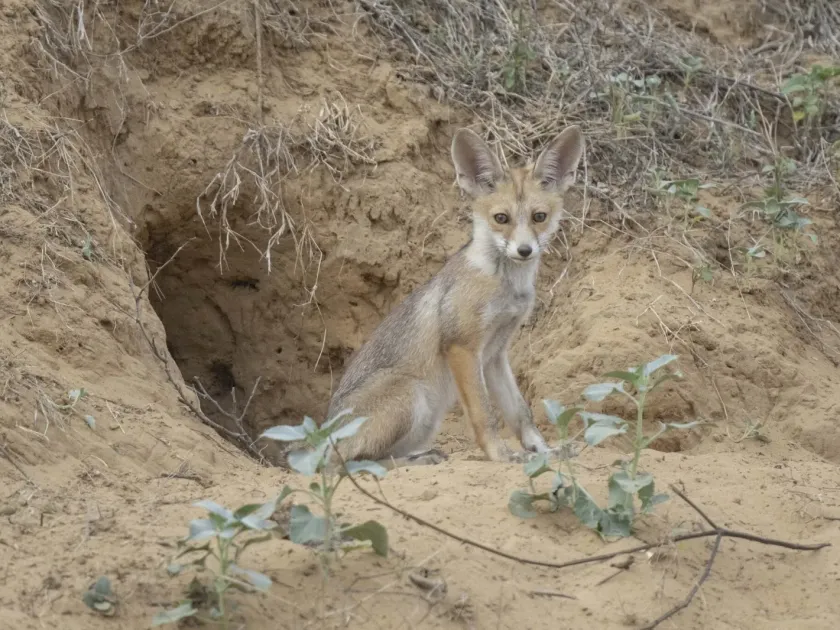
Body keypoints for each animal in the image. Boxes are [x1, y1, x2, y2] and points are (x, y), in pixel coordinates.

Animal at [320, 124, 585, 470]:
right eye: (501, 218)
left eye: (539, 217)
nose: (525, 250)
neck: (504, 286)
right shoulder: (463, 347)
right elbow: (485, 415)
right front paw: (501, 455)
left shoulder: (495, 354)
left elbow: (520, 414)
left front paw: (543, 450)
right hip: (412, 394)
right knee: (351, 464)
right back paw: (417, 461)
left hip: (425, 420)